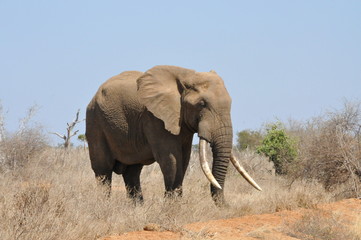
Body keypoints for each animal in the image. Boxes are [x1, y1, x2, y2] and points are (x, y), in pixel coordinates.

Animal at [86, 65, 262, 206]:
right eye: (202, 104)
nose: (228, 207)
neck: (187, 76)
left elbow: (183, 159)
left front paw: (176, 205)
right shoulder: (155, 118)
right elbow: (171, 158)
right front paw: (171, 207)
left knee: (132, 172)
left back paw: (137, 208)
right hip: (95, 121)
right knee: (103, 171)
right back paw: (104, 207)